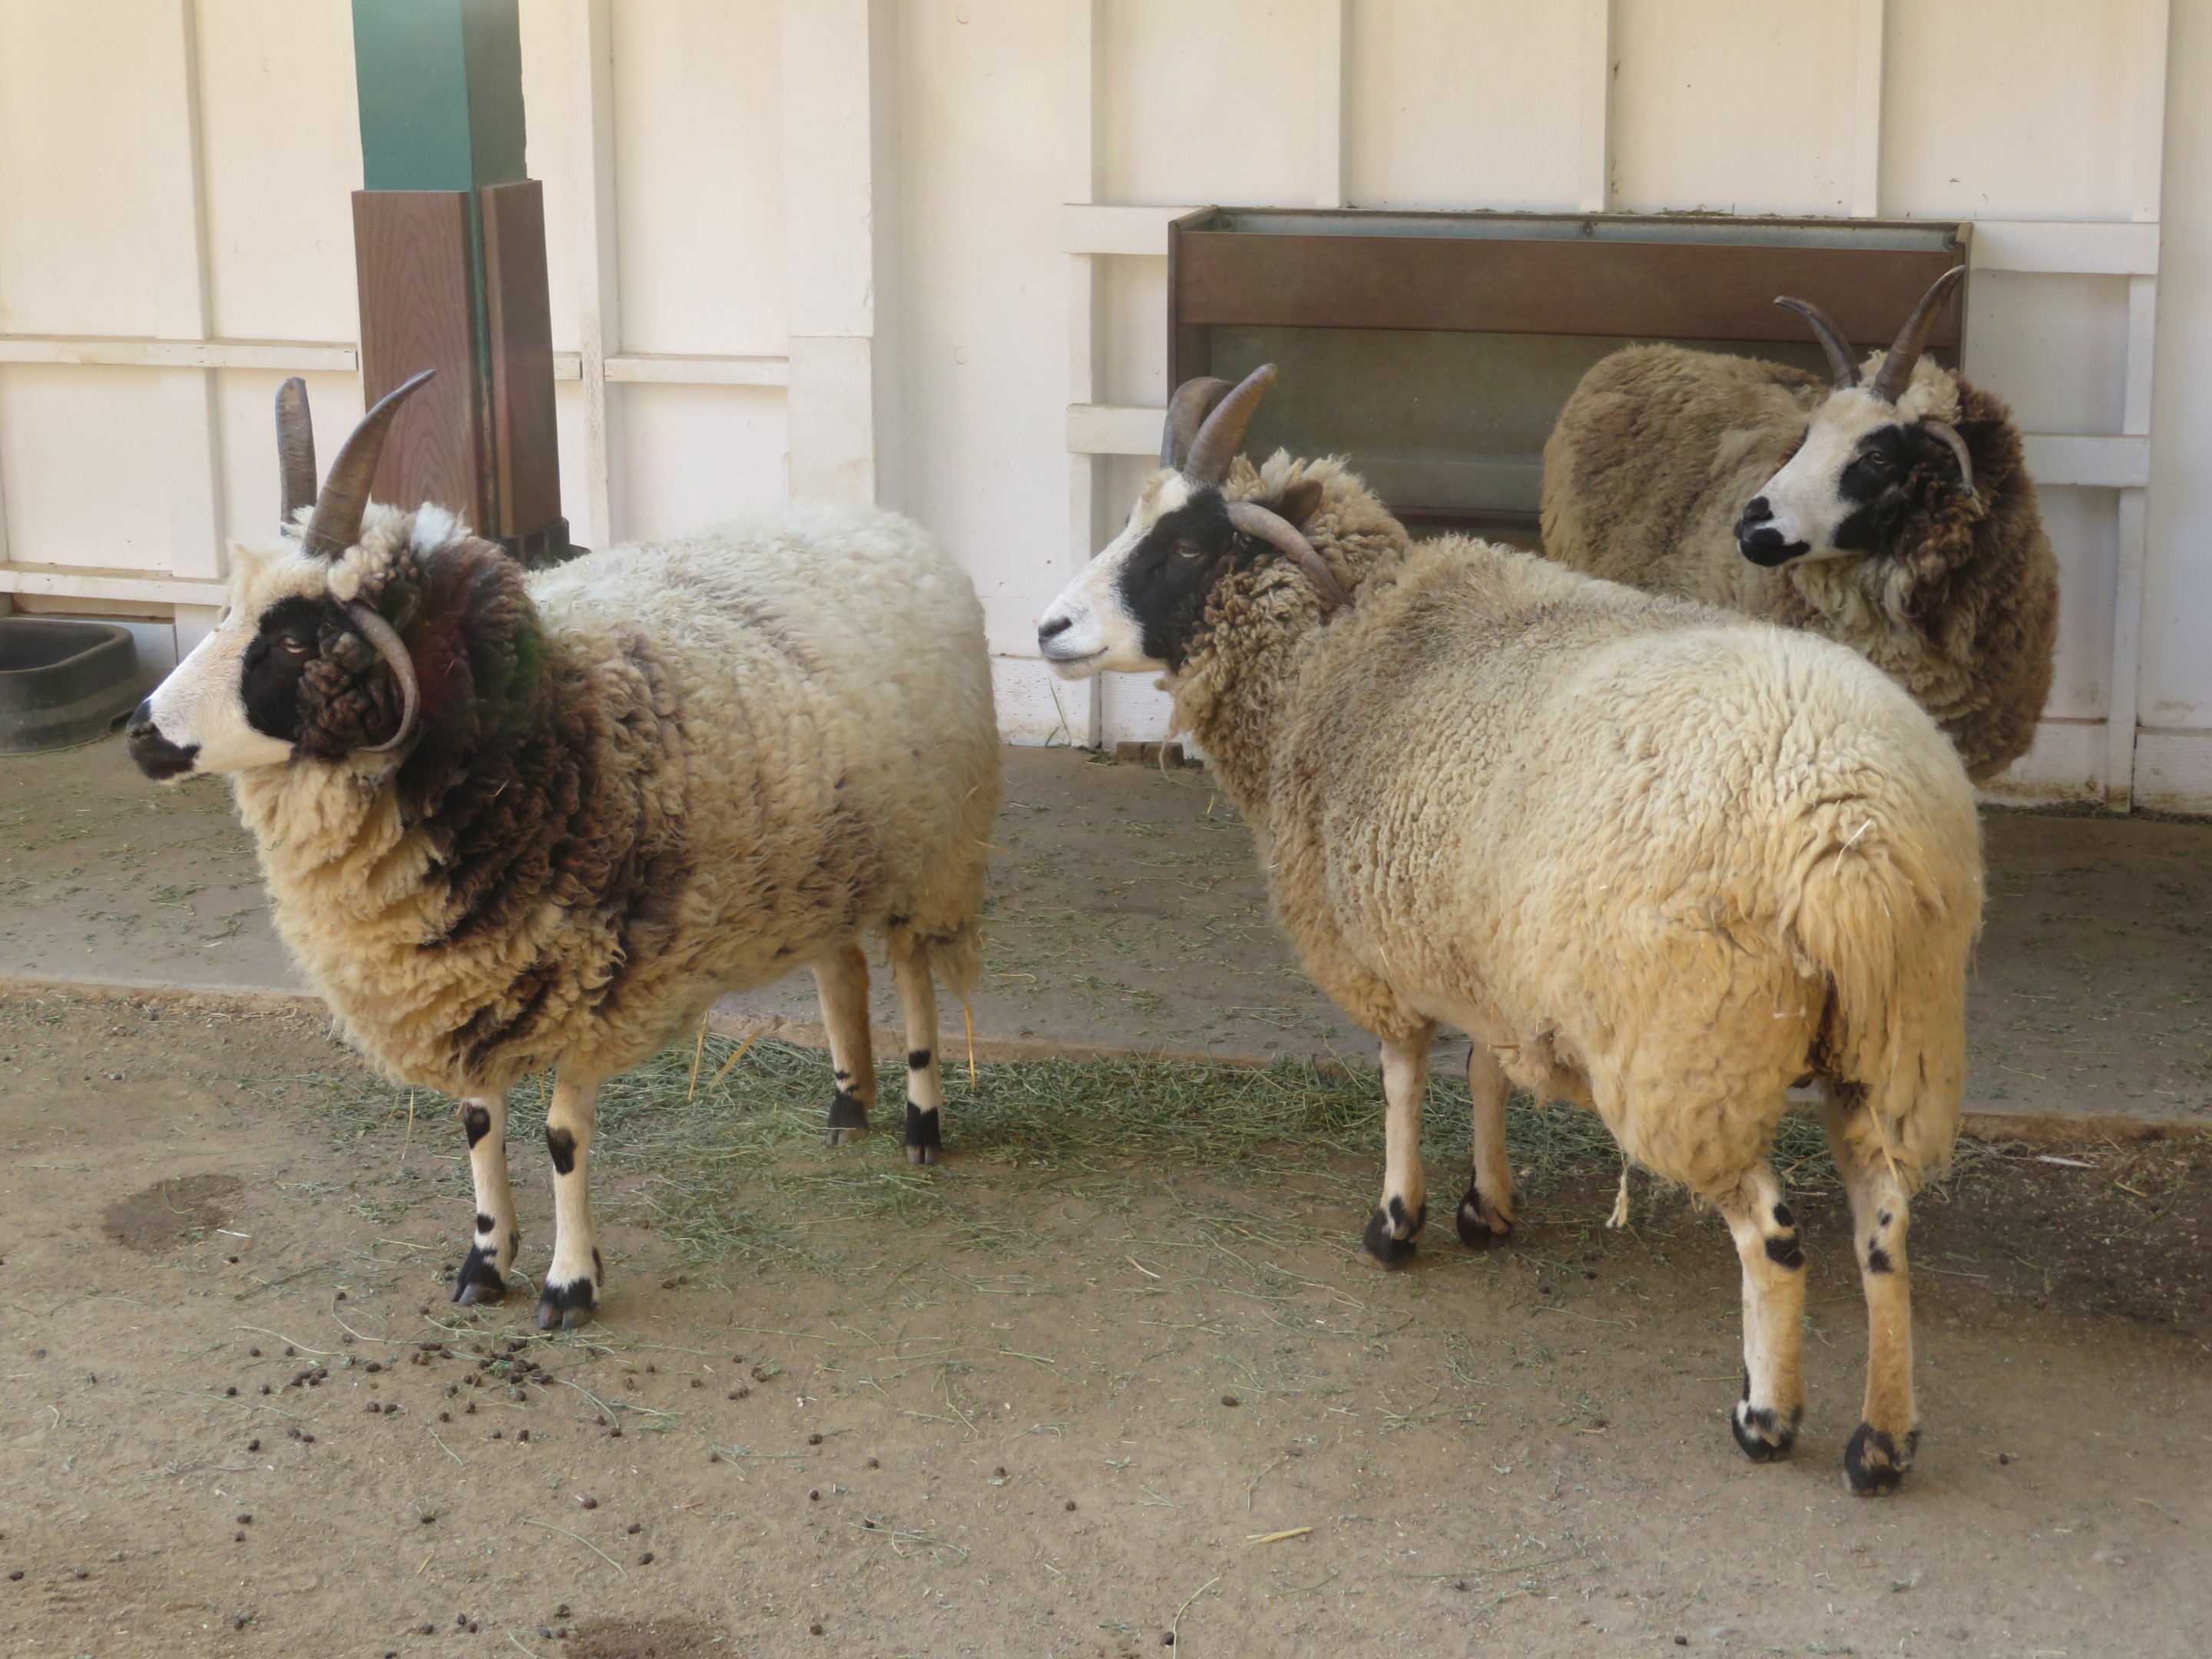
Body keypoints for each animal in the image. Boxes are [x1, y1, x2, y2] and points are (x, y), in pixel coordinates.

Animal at [126, 371, 1000, 1329]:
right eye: (226, 614)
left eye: (291, 639)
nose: (140, 733)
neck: (541, 725)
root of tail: (883, 523)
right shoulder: (462, 976)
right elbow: (478, 1127)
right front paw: (482, 1262)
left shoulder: (595, 988)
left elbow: (561, 1138)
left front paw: (569, 1282)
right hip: (828, 859)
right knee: (840, 967)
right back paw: (848, 1105)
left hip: (933, 853)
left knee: (912, 980)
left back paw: (920, 1120)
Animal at [1037, 365, 1983, 1494]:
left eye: (1183, 547)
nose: (1046, 629)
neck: (1343, 648)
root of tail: (1859, 834)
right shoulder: (1479, 937)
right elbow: (1486, 1065)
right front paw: (1488, 1206)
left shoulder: (1379, 941)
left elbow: (1404, 1076)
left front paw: (1397, 1222)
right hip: (1892, 1039)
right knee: (1885, 1226)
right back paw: (1882, 1441)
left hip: (1692, 1048)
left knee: (1773, 1236)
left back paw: (1767, 1416)